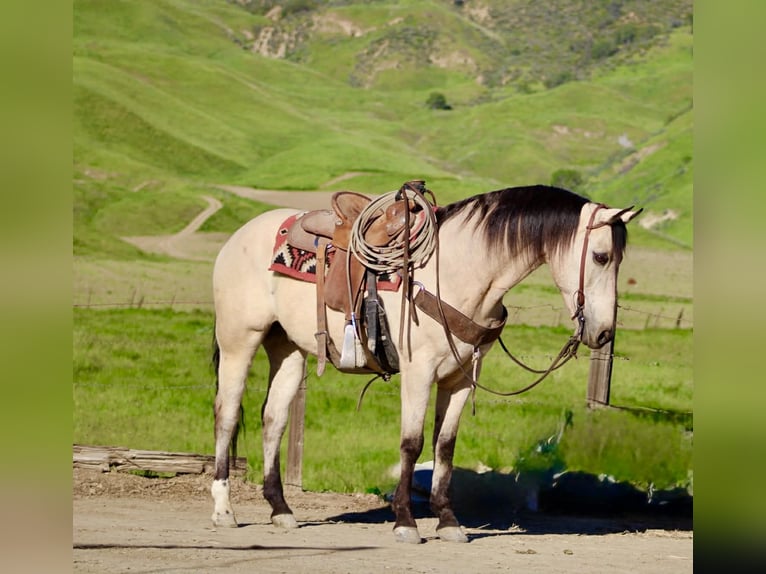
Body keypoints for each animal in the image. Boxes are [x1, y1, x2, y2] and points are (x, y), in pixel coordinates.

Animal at [209, 184, 640, 544]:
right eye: (601, 256)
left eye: (620, 260)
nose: (604, 333)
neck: (458, 272)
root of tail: (239, 237)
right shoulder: (418, 373)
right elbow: (412, 443)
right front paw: (405, 522)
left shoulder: (460, 379)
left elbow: (444, 446)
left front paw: (448, 522)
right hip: (239, 340)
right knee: (227, 415)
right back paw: (224, 510)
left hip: (288, 349)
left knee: (273, 419)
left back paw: (280, 510)